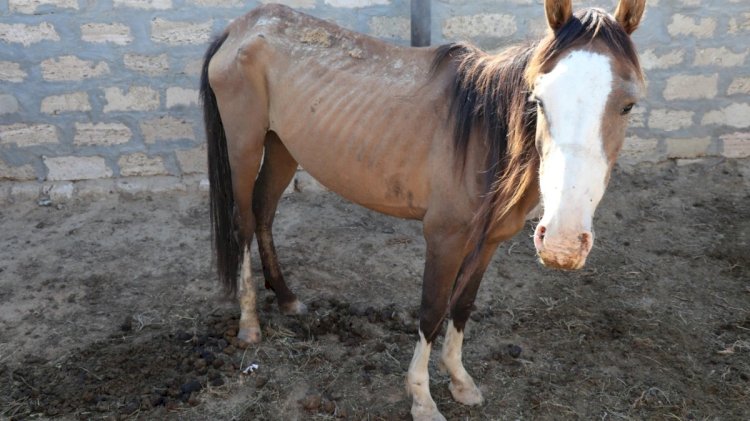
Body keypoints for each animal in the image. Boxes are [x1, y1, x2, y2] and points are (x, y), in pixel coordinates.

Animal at [203, 1, 648, 418]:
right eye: (538, 99)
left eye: (628, 105)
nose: (563, 245)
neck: (484, 136)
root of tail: (241, 26)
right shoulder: (443, 239)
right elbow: (432, 312)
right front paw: (421, 398)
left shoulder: (488, 243)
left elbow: (462, 306)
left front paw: (460, 381)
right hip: (245, 146)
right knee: (244, 223)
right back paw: (250, 324)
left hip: (282, 146)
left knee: (264, 212)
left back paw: (287, 298)